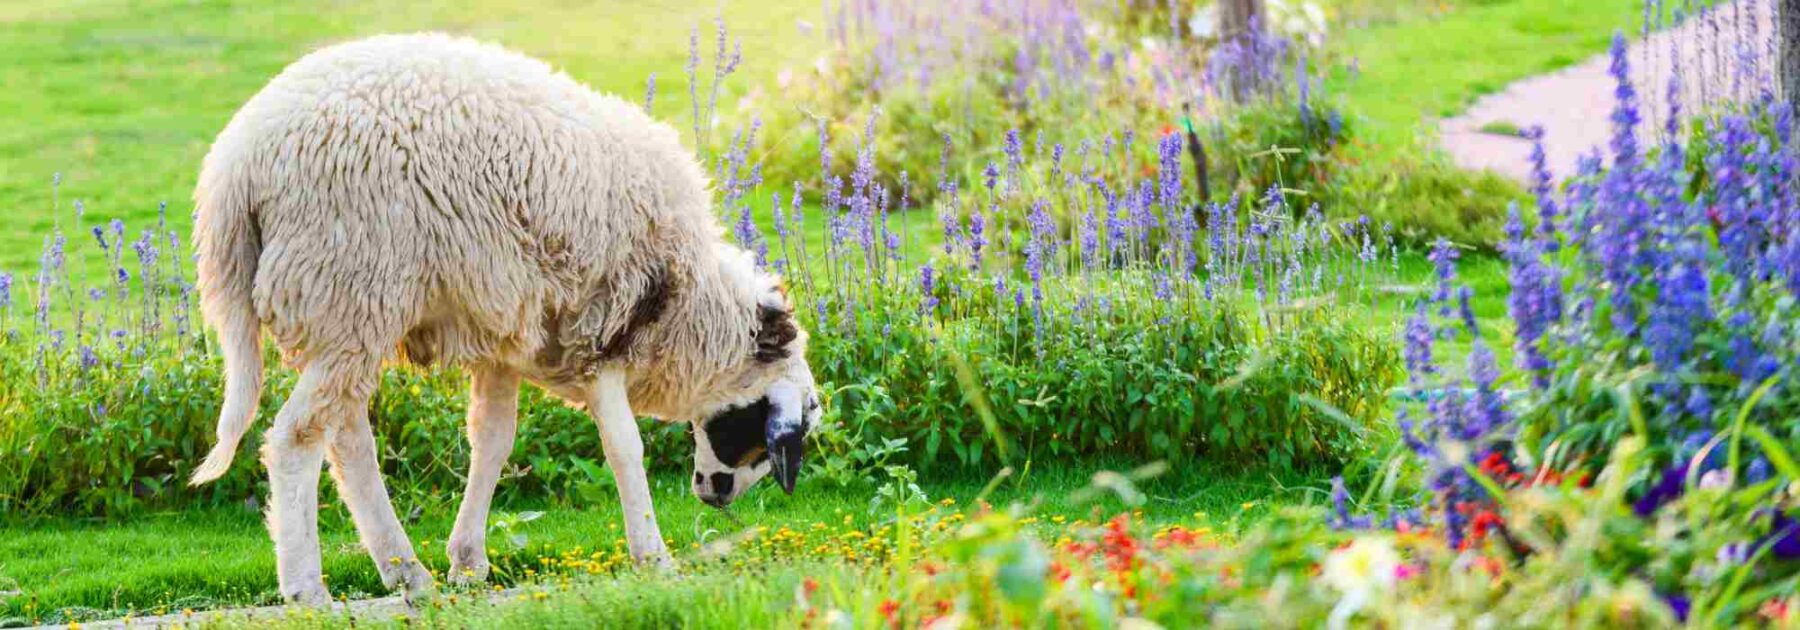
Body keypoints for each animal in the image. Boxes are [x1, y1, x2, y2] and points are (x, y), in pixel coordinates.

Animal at [184, 34, 824, 604]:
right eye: (769, 432)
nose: (717, 499)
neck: (691, 309)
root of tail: (235, 172)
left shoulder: (508, 335)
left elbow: (491, 441)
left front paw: (468, 561)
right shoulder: (598, 333)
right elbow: (624, 447)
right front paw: (653, 556)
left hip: (346, 314)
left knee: (346, 440)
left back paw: (405, 571)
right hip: (349, 292)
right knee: (296, 439)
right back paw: (307, 587)